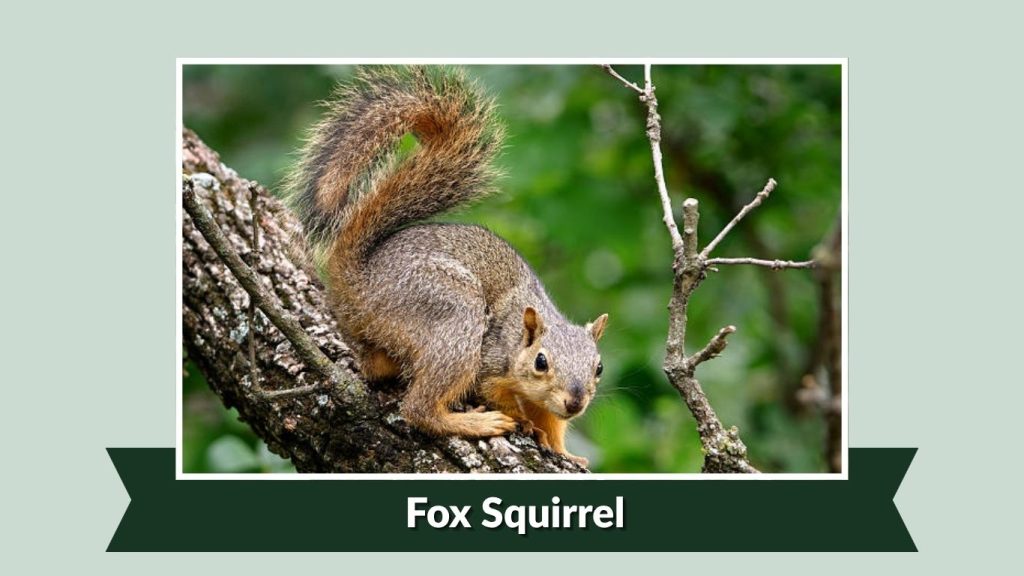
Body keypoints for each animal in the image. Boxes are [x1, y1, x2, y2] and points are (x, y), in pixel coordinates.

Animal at [287, 66, 608, 467]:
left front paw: (565, 452)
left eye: (599, 367)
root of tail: (357, 281)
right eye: (540, 362)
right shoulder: (490, 363)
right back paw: (474, 423)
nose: (575, 401)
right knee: (419, 409)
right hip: (452, 312)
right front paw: (522, 421)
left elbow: (553, 423)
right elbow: (497, 394)